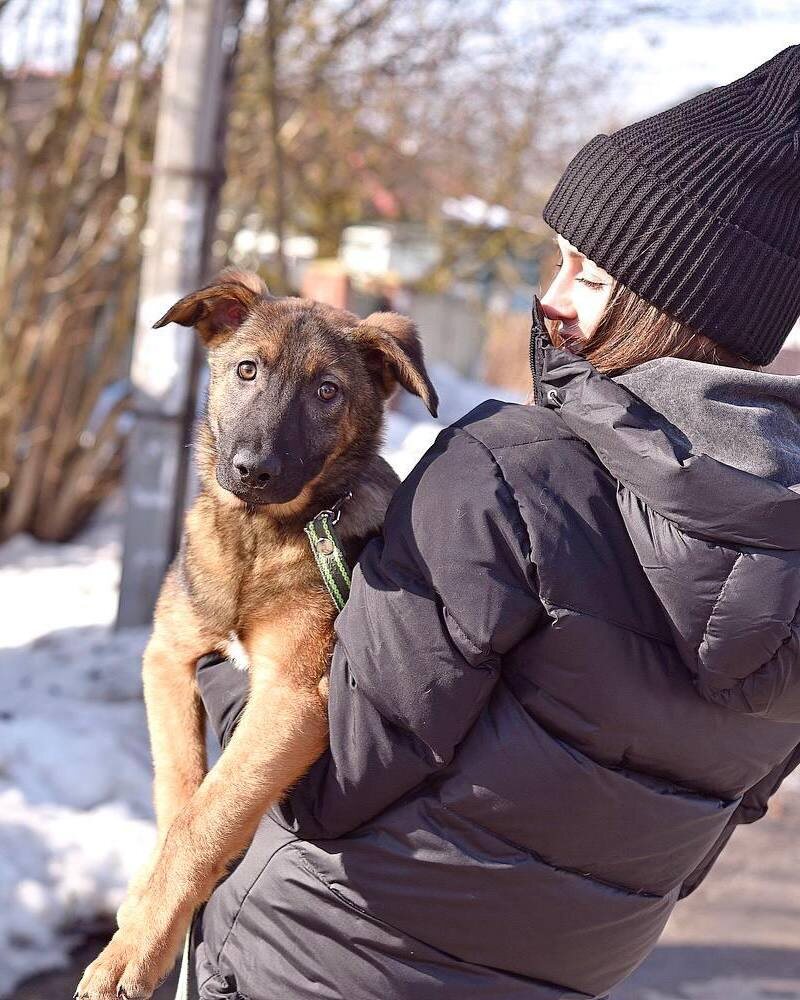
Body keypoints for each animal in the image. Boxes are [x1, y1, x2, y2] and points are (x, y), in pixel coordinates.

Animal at [76, 269, 437, 999]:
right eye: (247, 370)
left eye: (328, 391)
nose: (252, 470)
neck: (256, 537)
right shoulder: (168, 654)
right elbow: (181, 789)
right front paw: (148, 910)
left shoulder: (296, 695)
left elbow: (206, 816)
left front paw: (133, 951)